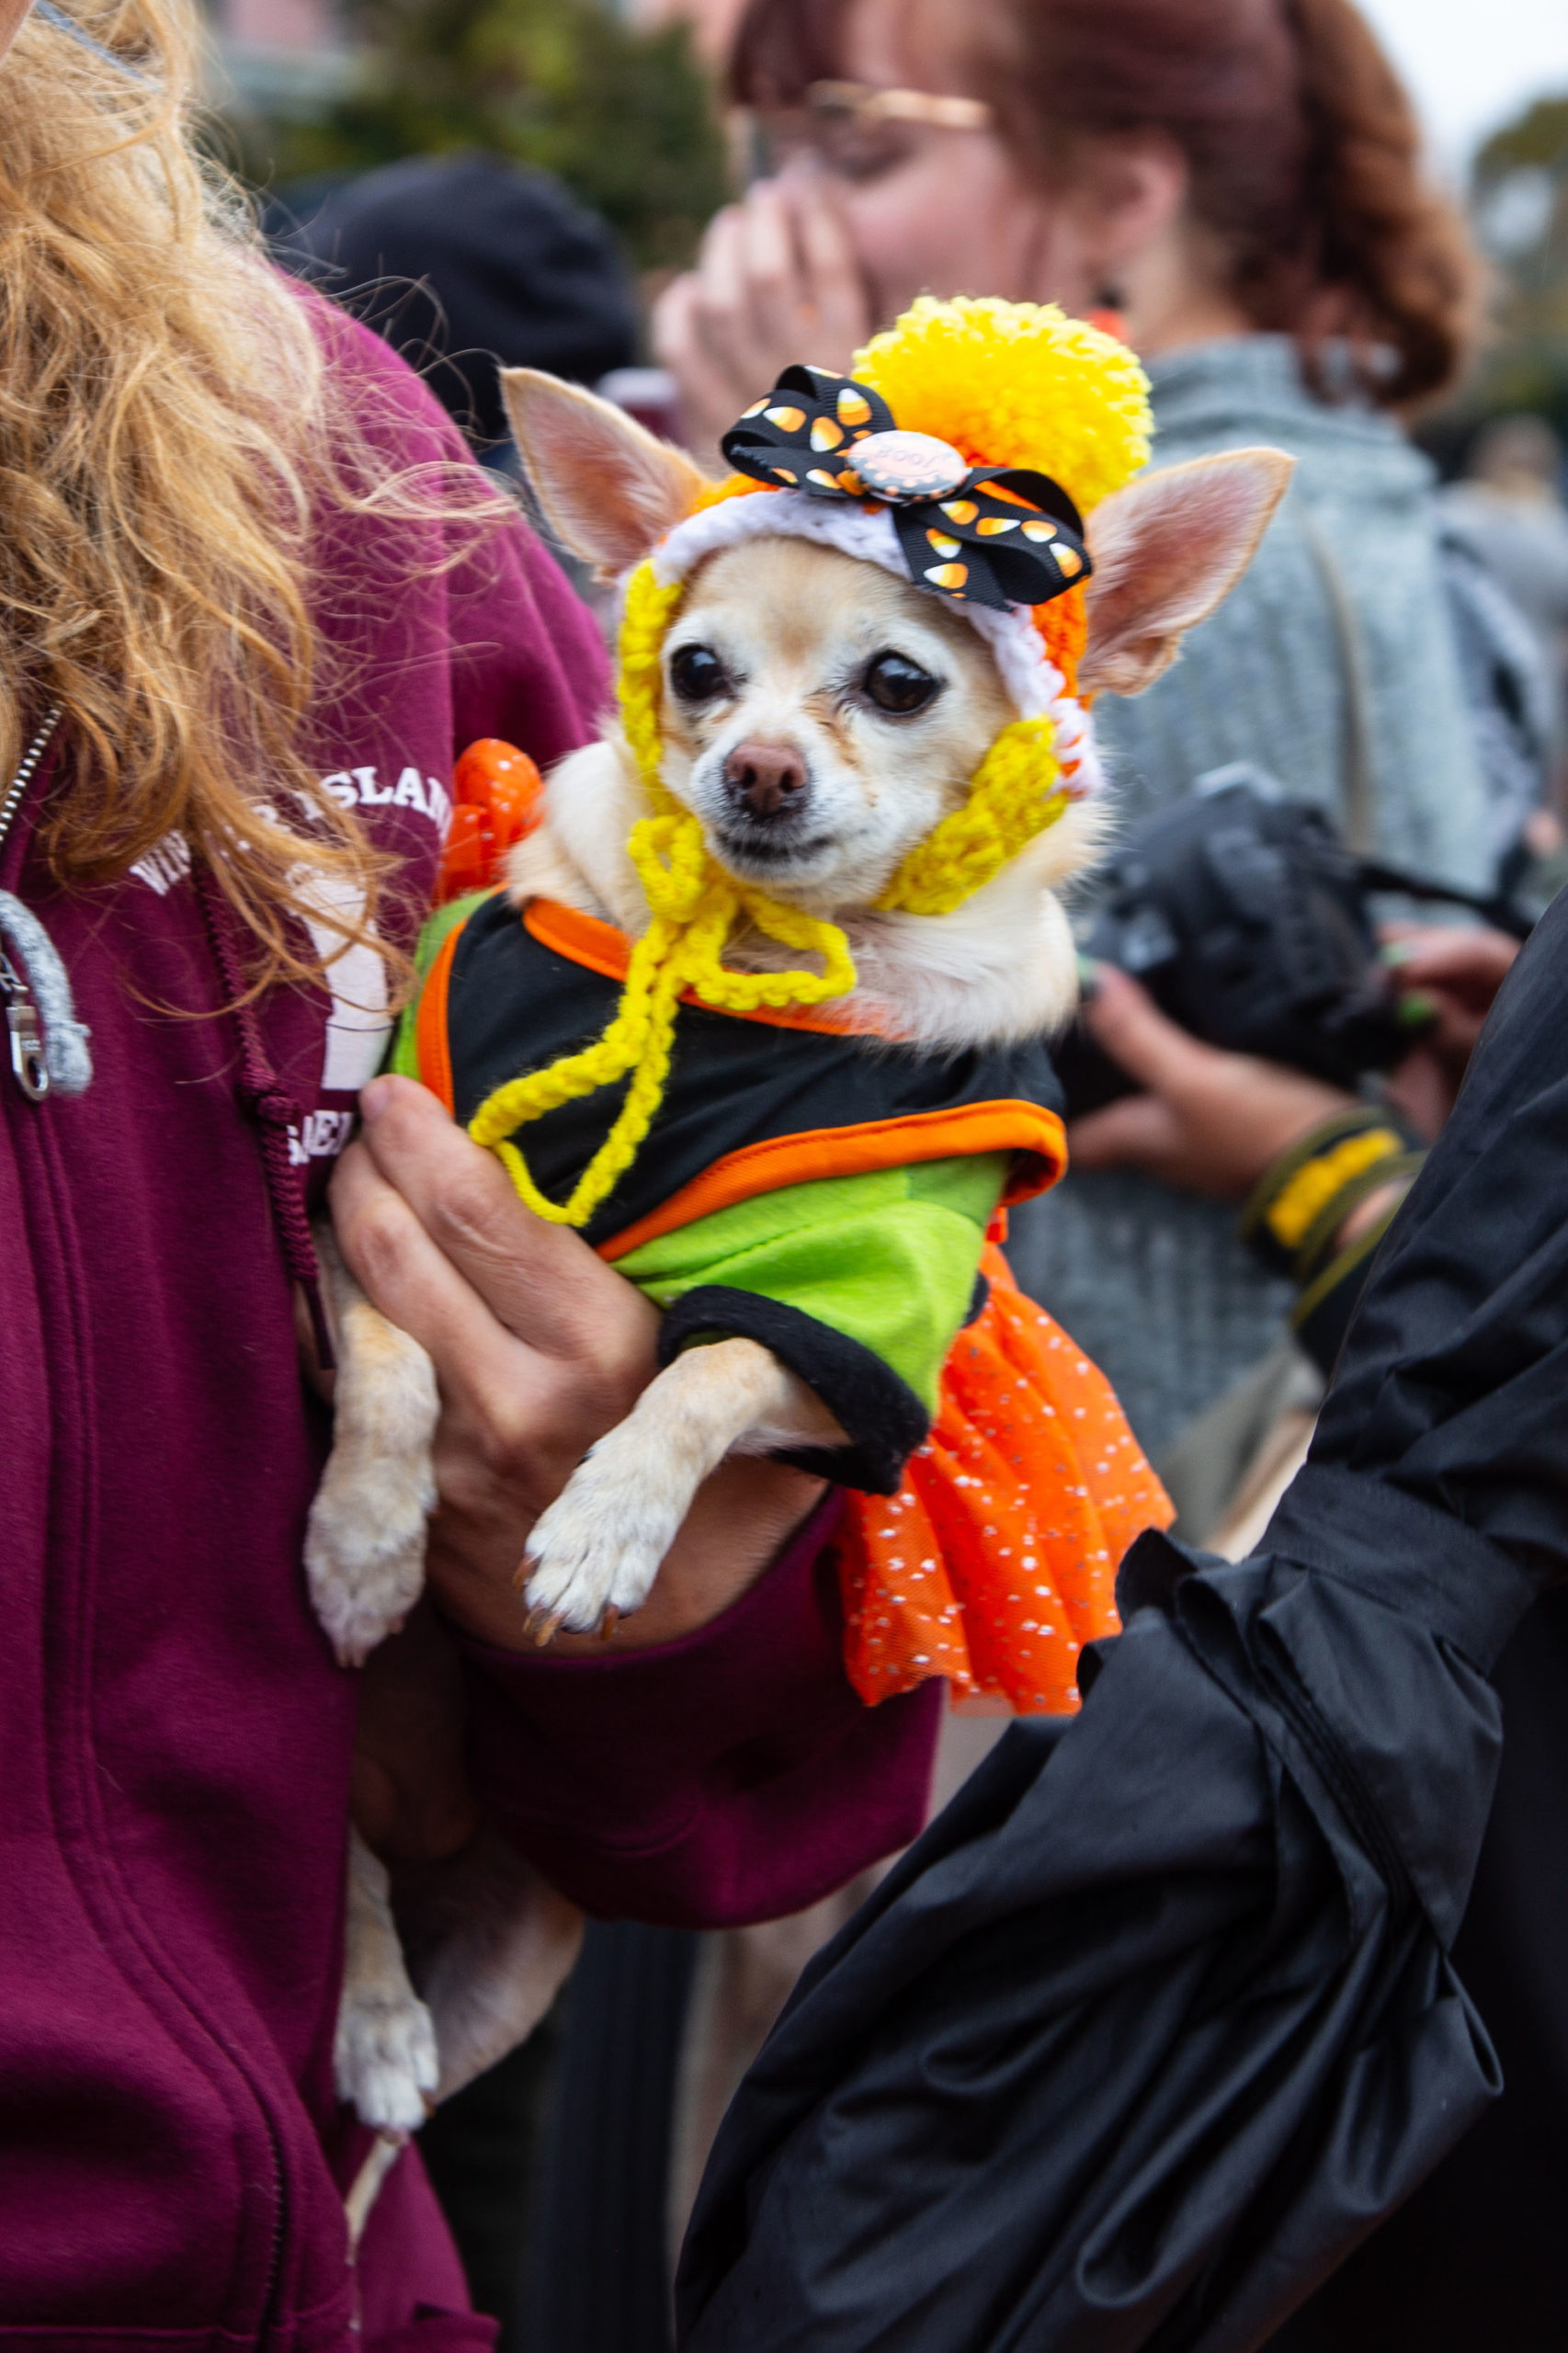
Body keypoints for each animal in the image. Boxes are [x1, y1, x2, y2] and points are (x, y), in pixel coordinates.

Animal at [315, 362, 1280, 2136]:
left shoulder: (860, 1298)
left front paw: (604, 1527)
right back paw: (370, 2014)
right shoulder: (386, 1180)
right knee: (336, 1858)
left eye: (897, 683)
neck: (743, 975)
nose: (756, 769)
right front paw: (361, 1536)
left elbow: (711, 1374)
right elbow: (391, 1355)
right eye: (693, 670)